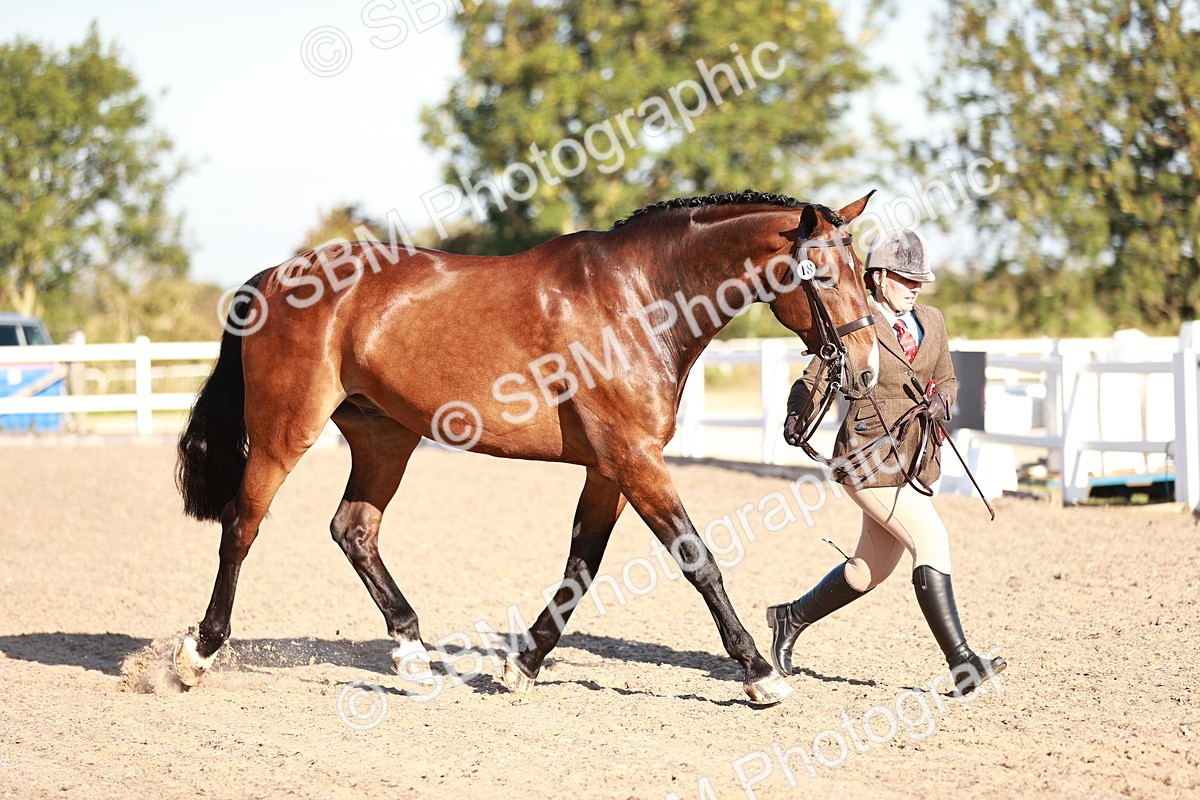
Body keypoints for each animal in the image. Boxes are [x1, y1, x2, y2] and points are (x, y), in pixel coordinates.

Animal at [173, 189, 880, 706]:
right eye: (823, 274)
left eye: (865, 273)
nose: (867, 365)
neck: (636, 298)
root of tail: (275, 275)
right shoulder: (635, 460)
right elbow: (698, 559)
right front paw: (760, 673)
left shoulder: (610, 469)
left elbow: (582, 567)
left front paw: (524, 664)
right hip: (283, 432)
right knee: (242, 527)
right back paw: (197, 653)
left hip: (385, 437)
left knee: (353, 530)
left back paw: (412, 655)